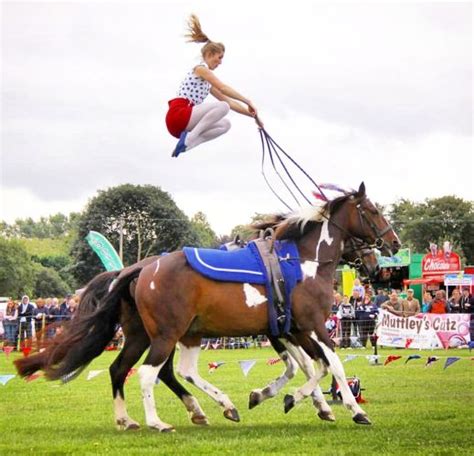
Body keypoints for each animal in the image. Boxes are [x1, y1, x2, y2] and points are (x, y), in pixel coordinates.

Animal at [14, 183, 400, 432]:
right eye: (372, 211)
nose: (391, 247)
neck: (302, 261)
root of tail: (140, 268)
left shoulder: (291, 329)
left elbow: (309, 367)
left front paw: (292, 399)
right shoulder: (312, 326)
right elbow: (328, 363)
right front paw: (350, 409)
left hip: (154, 335)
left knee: (131, 369)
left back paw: (144, 417)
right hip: (167, 335)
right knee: (150, 373)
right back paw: (159, 421)